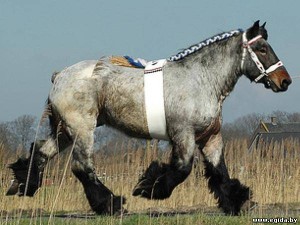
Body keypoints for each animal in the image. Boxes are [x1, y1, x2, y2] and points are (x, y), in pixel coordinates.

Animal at [6, 21, 290, 216]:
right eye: (262, 49)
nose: (284, 81)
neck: (201, 81)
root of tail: (60, 75)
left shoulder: (210, 137)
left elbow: (219, 171)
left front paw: (239, 201)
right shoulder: (183, 134)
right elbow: (182, 168)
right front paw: (148, 188)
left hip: (65, 131)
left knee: (41, 152)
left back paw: (22, 185)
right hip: (82, 129)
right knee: (81, 167)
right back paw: (112, 204)